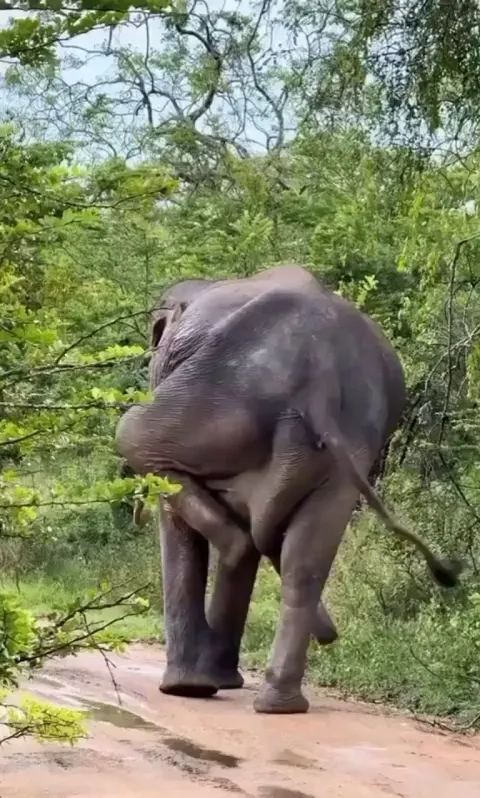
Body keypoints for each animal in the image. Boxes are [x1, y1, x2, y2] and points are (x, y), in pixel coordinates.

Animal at [116, 264, 460, 714]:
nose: (329, 634)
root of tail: (320, 378)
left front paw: (186, 689)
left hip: (217, 397)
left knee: (134, 434)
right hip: (342, 445)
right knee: (304, 561)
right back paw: (280, 704)